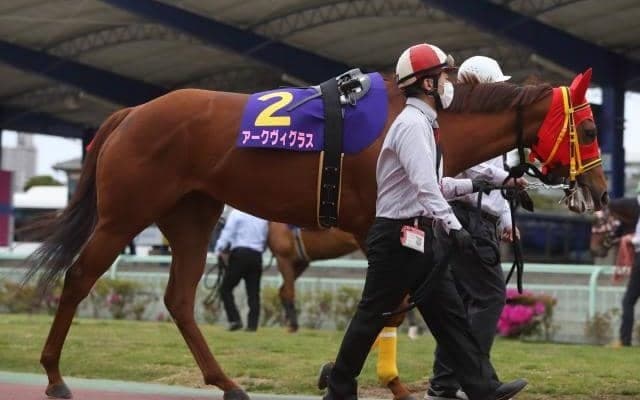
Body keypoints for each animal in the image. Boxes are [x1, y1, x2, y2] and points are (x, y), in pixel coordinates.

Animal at [23, 68, 608, 400]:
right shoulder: (375, 227)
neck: (418, 115)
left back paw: (228, 384)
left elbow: (406, 307)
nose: (601, 194)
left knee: (180, 299)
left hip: (191, 216)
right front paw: (364, 379)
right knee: (79, 277)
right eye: (589, 127)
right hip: (125, 213)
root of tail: (130, 112)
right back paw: (53, 375)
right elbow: (390, 308)